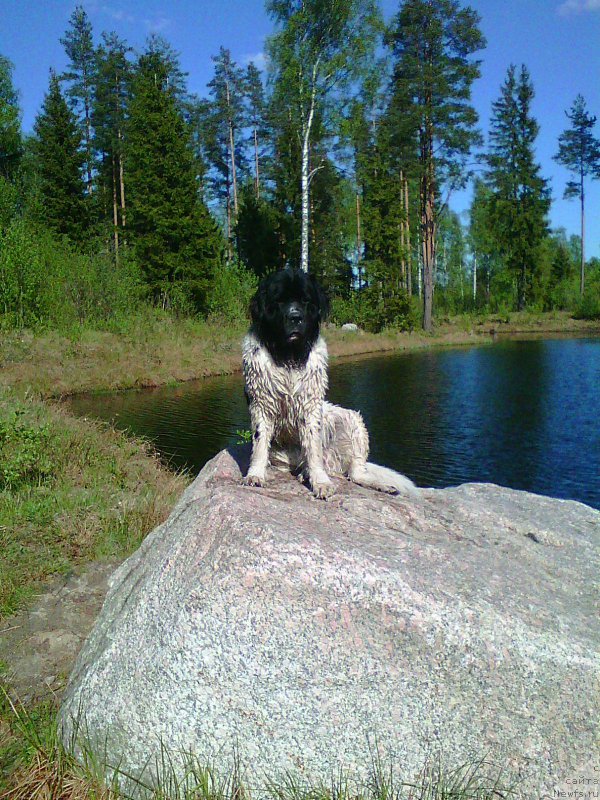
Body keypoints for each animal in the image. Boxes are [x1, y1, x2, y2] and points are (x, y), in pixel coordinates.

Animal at [241, 268, 420, 500]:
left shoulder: (310, 406)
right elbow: (260, 443)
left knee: (356, 471)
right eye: (279, 300)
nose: (295, 317)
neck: (289, 354)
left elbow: (313, 447)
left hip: (352, 421)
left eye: (305, 300)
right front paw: (255, 475)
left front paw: (321, 483)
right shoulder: (261, 403)